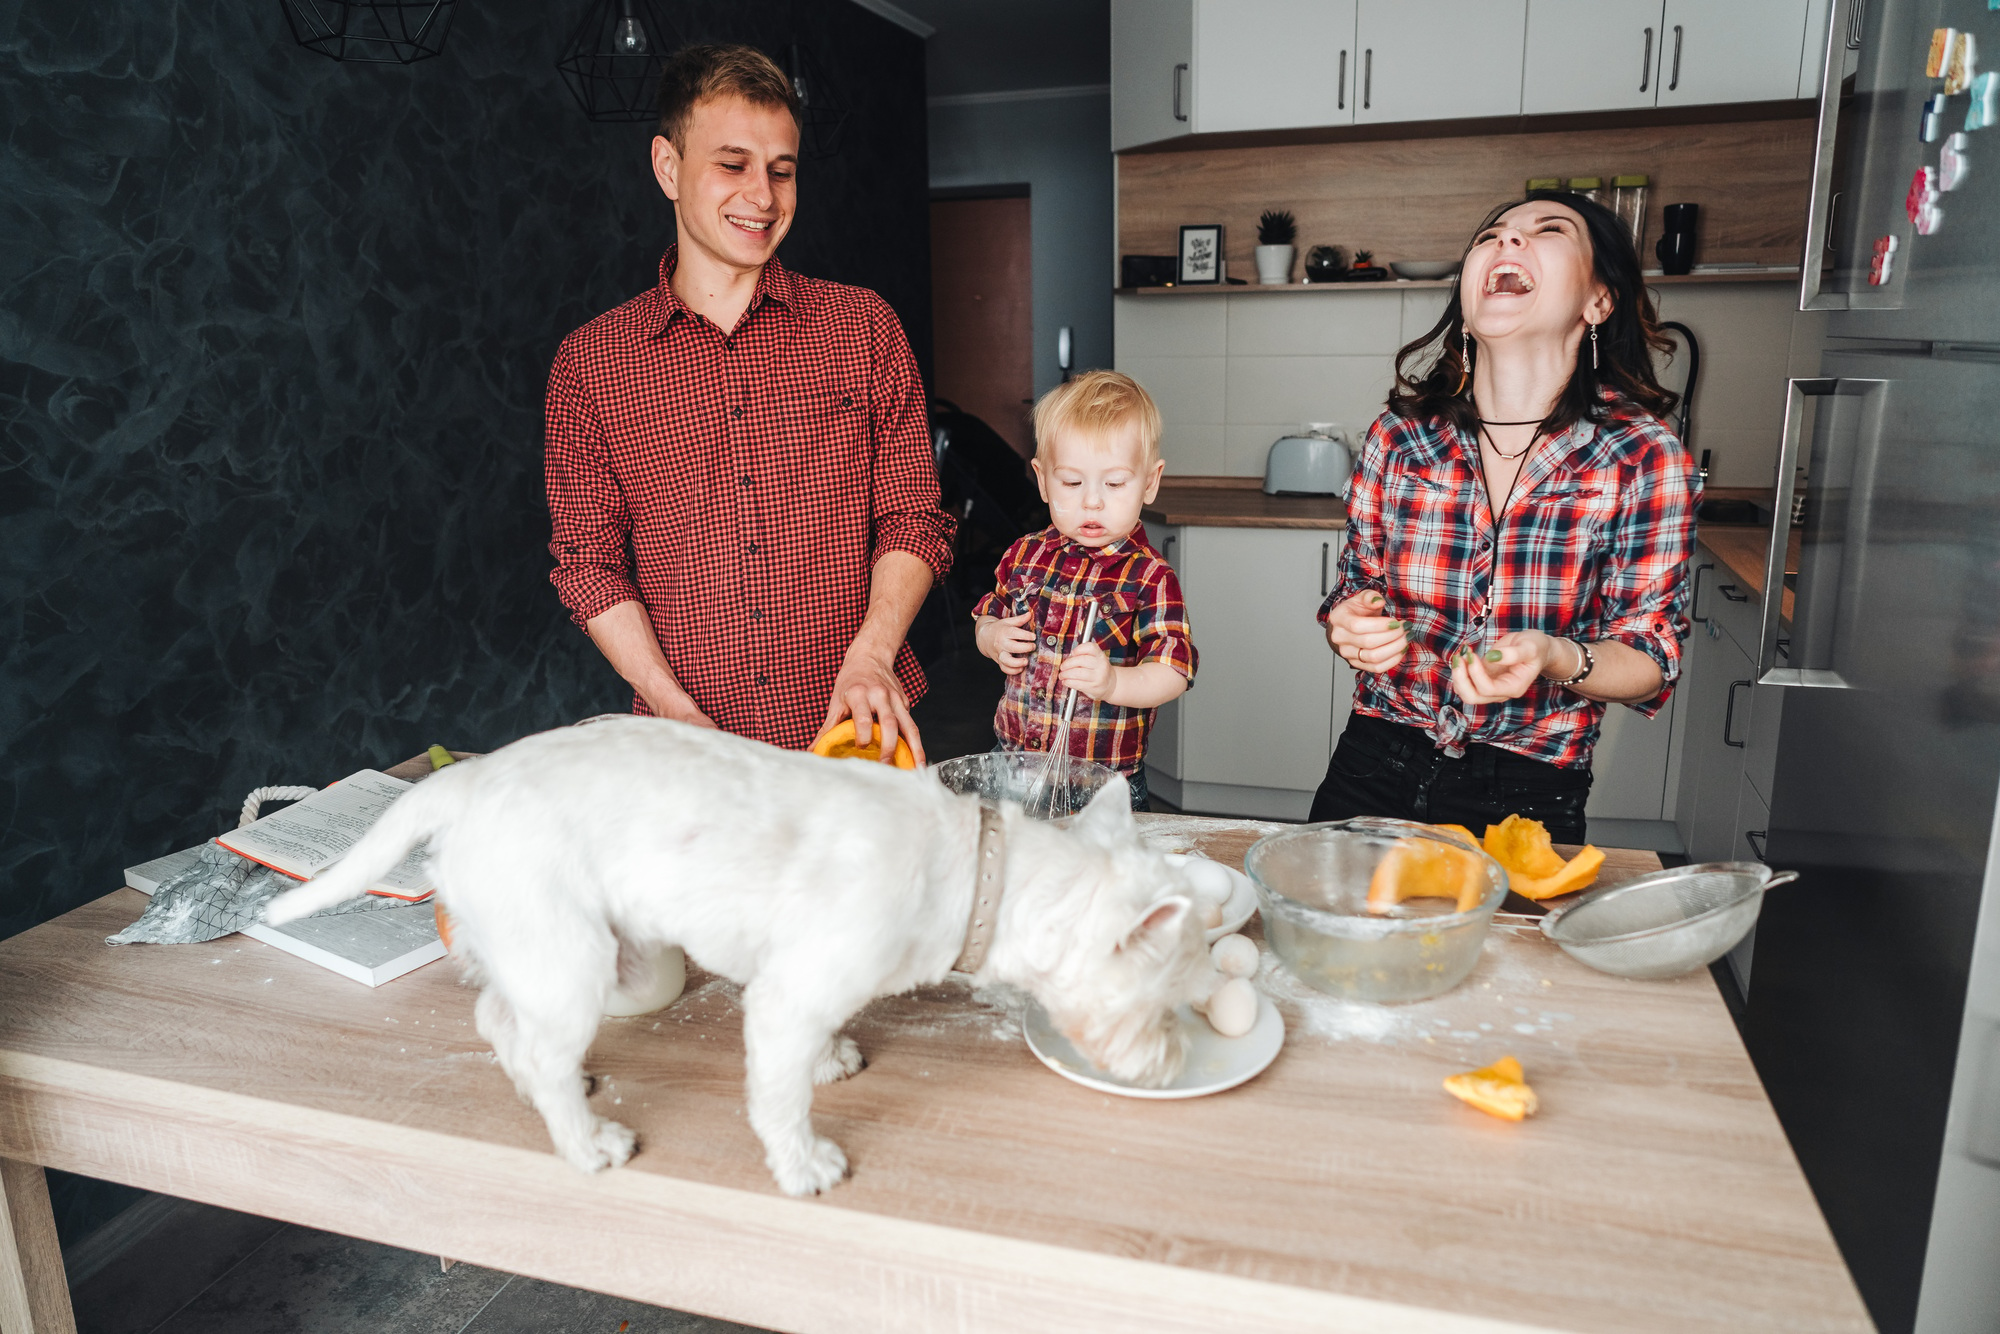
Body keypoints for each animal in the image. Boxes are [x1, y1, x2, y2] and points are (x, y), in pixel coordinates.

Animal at [264, 720, 1200, 1200]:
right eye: (1162, 999)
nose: (1169, 1068)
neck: (984, 870)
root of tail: (461, 782)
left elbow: (807, 1055)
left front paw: (831, 1060)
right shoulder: (789, 995)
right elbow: (779, 1100)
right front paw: (804, 1166)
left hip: (552, 945)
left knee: (501, 1017)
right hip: (575, 958)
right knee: (534, 1039)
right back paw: (587, 1144)